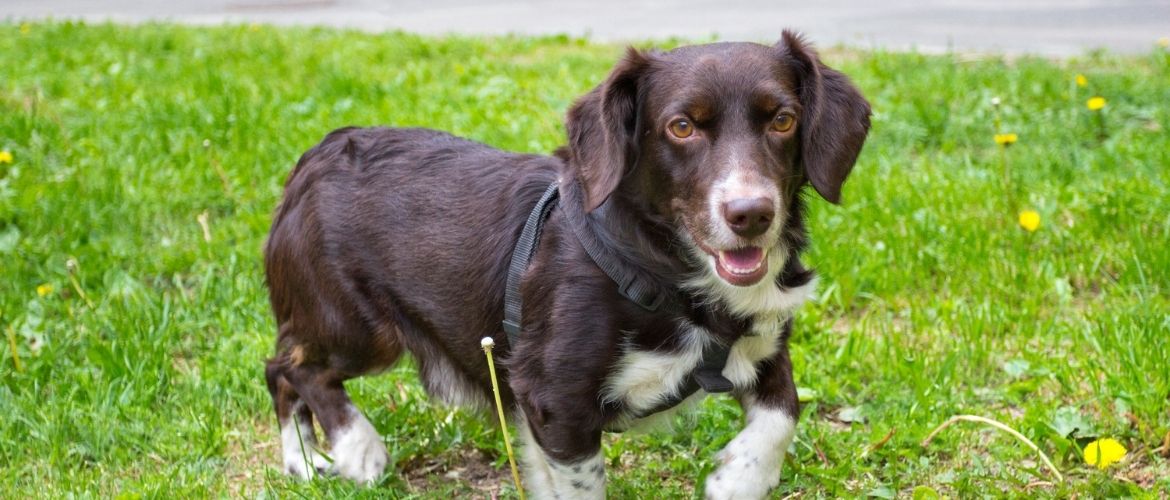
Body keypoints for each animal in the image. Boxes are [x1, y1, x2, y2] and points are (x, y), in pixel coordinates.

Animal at [265, 31, 870, 500]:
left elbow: (782, 413)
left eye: (783, 119)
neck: (664, 269)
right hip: (359, 329)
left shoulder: (763, 345)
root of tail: (312, 158)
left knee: (283, 371)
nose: (751, 214)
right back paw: (355, 448)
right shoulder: (557, 398)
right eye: (681, 127)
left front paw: (738, 478)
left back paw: (303, 464)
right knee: (293, 368)